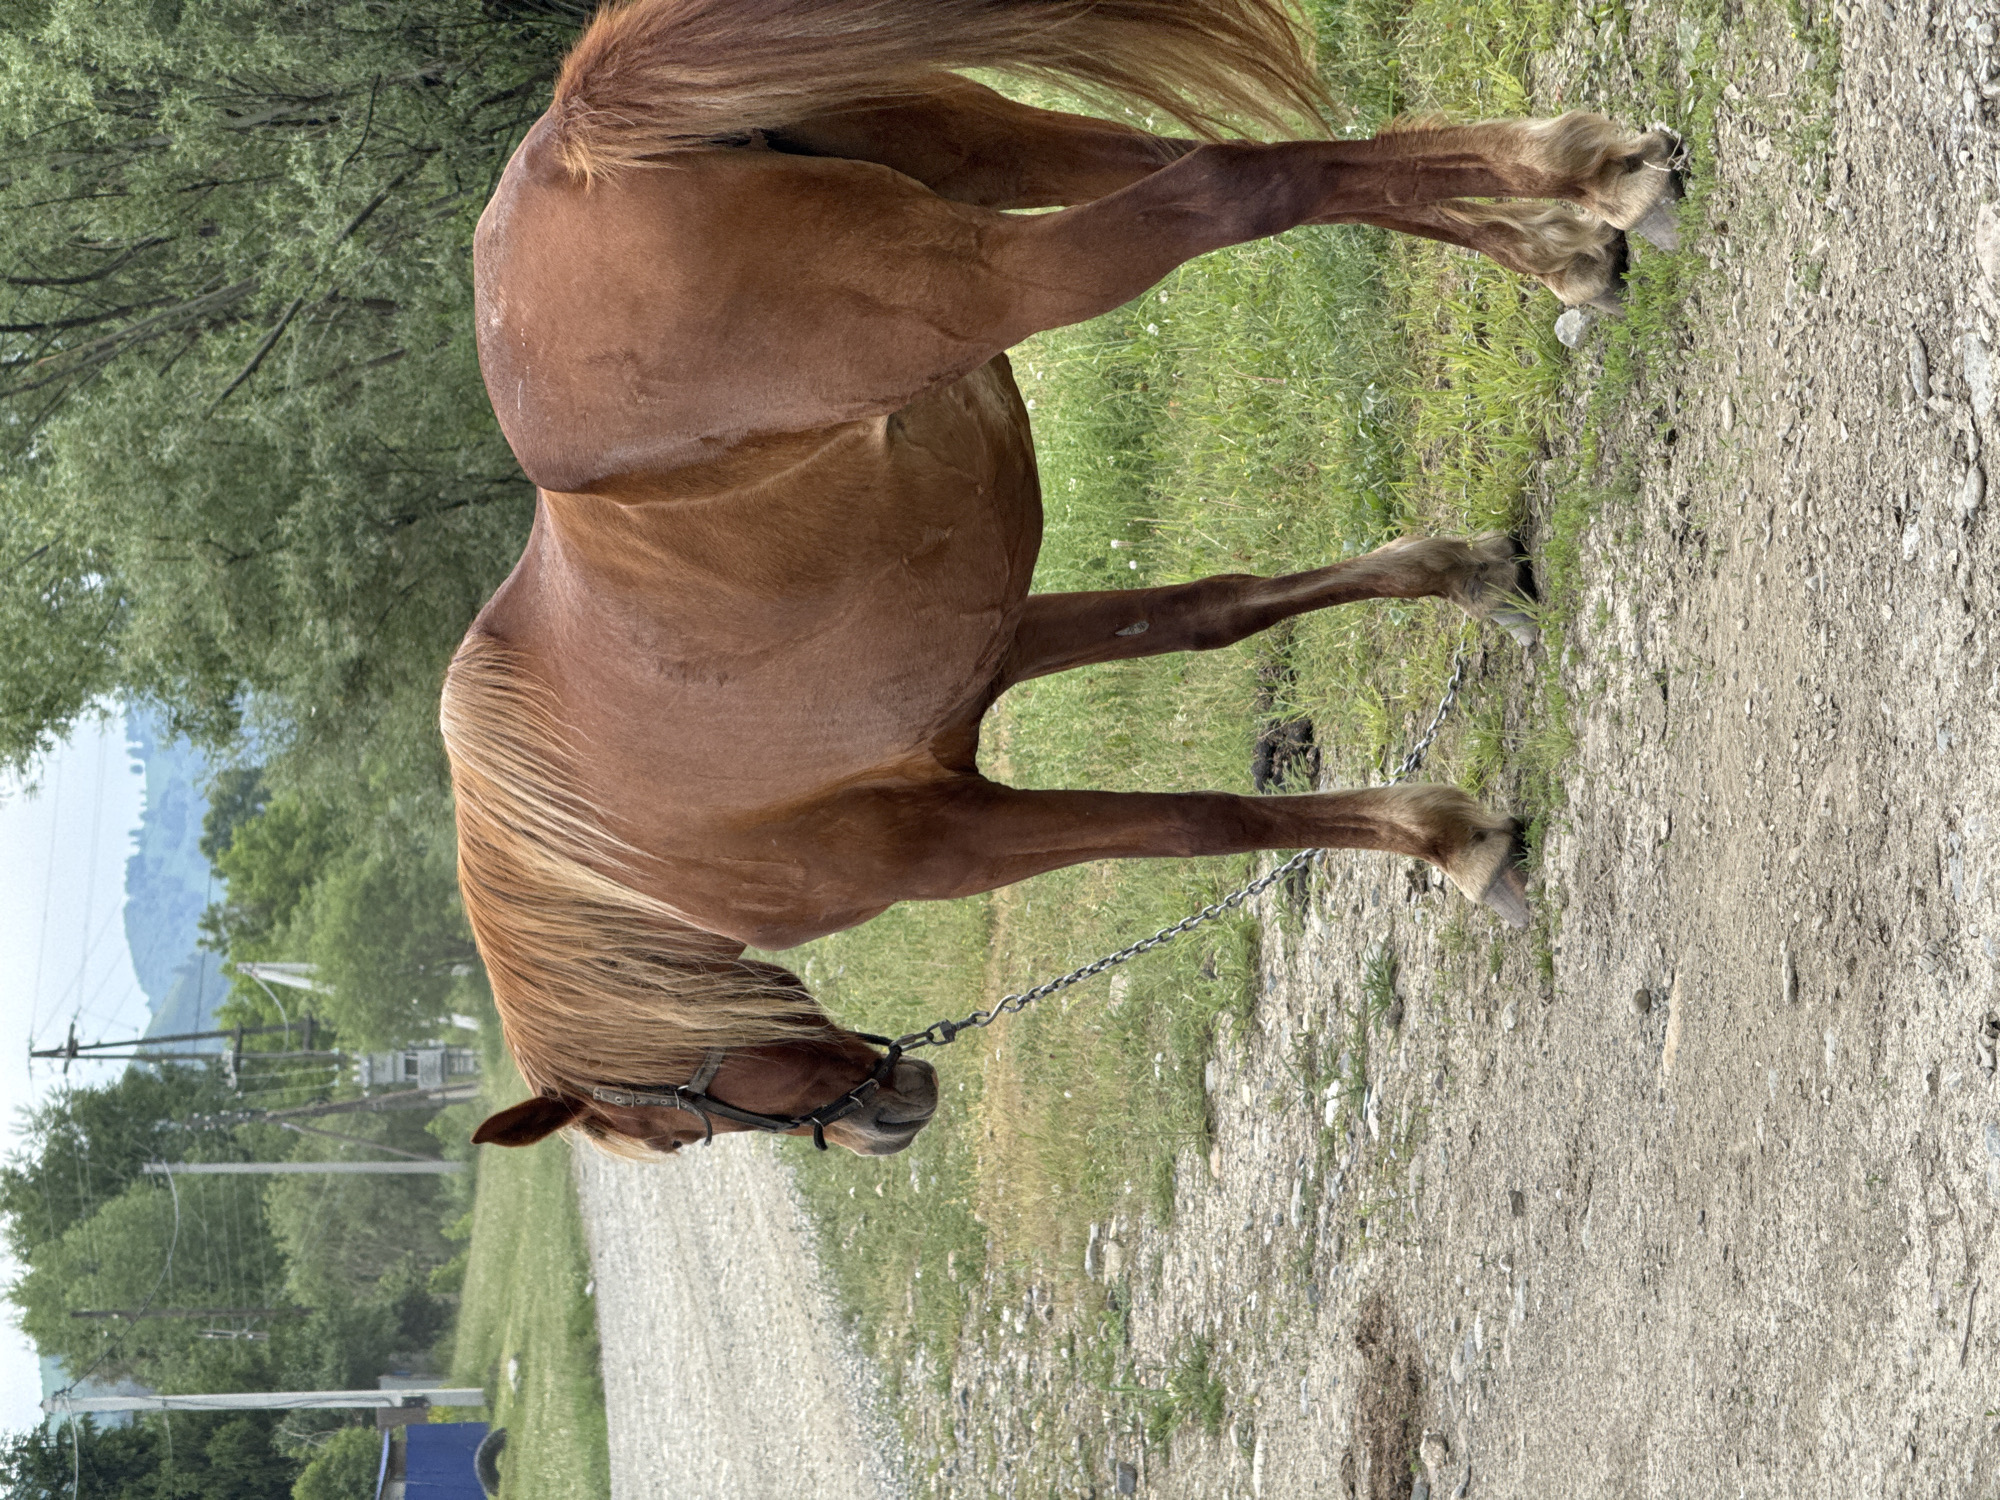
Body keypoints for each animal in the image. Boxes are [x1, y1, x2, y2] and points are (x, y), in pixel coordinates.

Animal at [452, 0, 1682, 1158]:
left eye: (679, 1121)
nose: (885, 1121)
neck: (608, 860)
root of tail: (570, 146)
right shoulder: (997, 646)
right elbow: (1211, 611)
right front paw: (1460, 573)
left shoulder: (950, 845)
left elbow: (1195, 823)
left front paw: (1449, 842)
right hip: (995, 154)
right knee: (1250, 161)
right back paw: (1566, 233)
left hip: (1002, 273)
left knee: (1228, 186)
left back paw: (1586, 181)